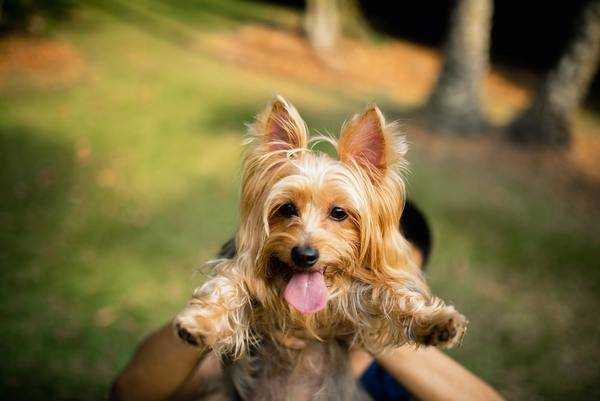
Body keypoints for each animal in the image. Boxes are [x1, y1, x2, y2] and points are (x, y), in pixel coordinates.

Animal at [171, 95, 466, 398]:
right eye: (287, 208)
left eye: (339, 213)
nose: (304, 255)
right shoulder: (243, 265)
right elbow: (229, 285)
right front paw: (201, 323)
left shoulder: (360, 294)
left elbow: (391, 294)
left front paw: (436, 321)